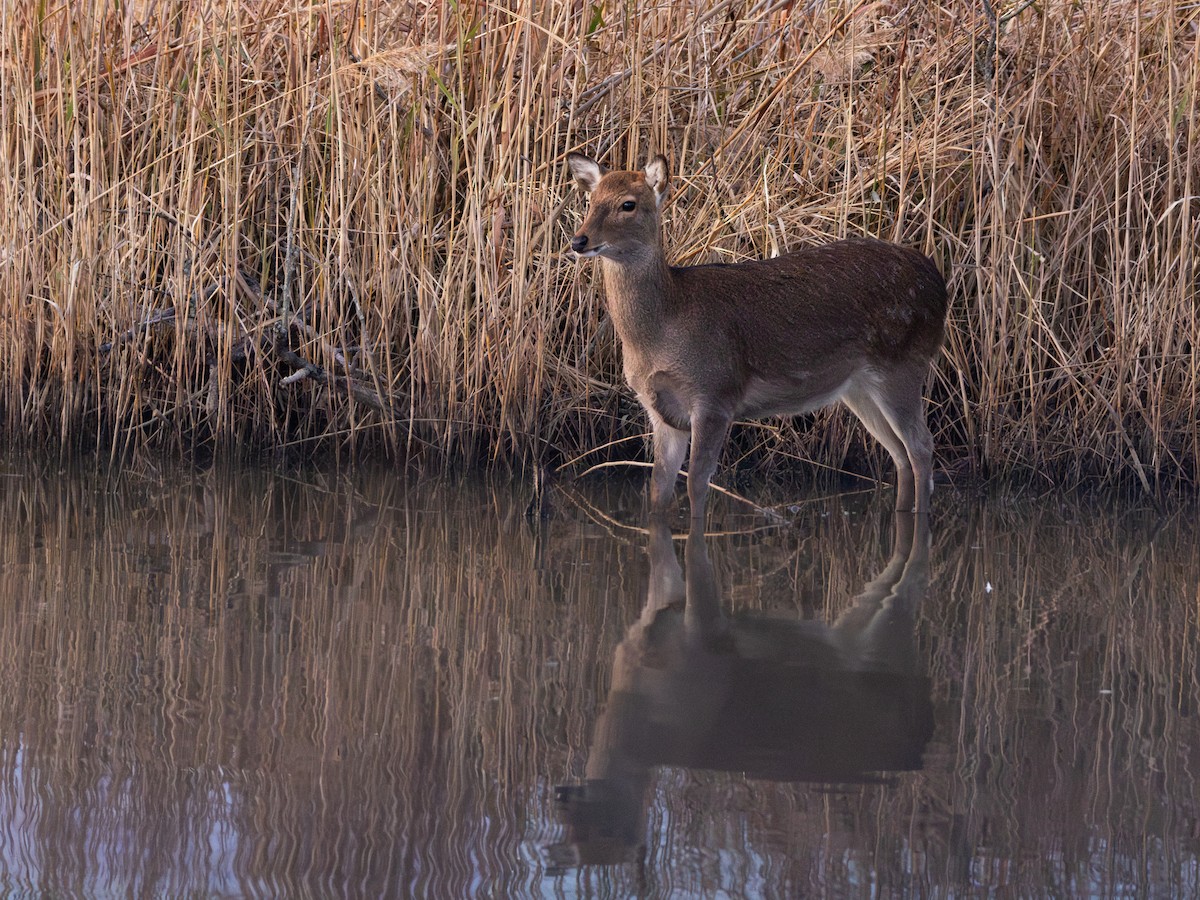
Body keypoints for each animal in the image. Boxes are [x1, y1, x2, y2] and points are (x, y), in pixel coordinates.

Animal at [566, 152, 948, 521]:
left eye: (628, 204)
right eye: (590, 200)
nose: (578, 240)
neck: (660, 332)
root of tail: (939, 284)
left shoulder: (715, 393)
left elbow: (697, 484)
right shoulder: (659, 409)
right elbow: (659, 488)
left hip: (903, 363)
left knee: (921, 447)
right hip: (858, 387)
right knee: (899, 454)